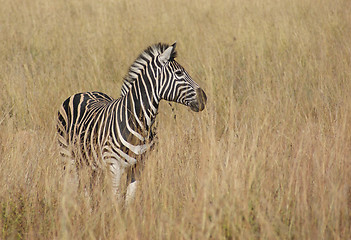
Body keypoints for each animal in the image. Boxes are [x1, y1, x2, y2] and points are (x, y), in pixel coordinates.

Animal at [56, 42, 208, 202]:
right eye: (179, 73)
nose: (204, 98)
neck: (140, 123)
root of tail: (83, 92)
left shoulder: (138, 167)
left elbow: (129, 200)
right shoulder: (114, 166)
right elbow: (116, 200)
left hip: (91, 163)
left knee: (87, 188)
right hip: (68, 156)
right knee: (74, 185)